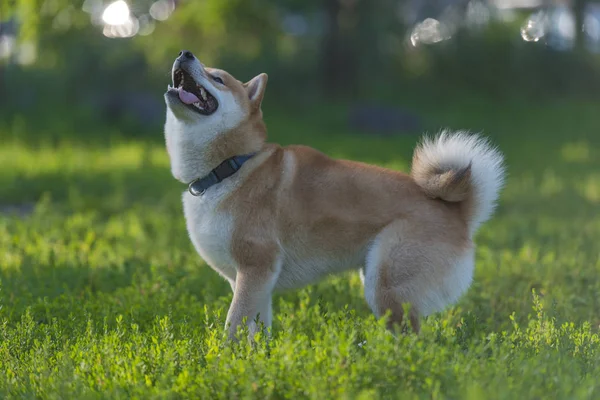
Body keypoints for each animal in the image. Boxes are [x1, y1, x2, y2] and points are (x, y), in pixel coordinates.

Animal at [162, 48, 504, 340]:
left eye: (218, 78)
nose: (185, 53)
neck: (230, 167)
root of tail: (459, 213)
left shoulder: (254, 268)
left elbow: (233, 327)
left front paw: (225, 361)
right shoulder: (255, 282)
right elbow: (257, 330)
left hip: (385, 286)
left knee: (413, 340)